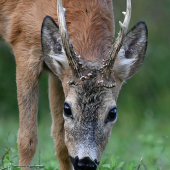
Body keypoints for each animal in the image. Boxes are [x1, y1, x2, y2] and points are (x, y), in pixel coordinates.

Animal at [0, 0, 147, 169]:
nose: (85, 162)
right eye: (67, 109)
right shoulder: (24, 44)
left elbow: (61, 142)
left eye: (112, 113)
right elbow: (27, 139)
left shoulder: (56, 73)